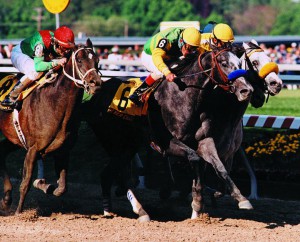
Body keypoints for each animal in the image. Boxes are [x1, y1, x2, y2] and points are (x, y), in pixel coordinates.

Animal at [0, 38, 102, 215]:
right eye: (79, 60)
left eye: (97, 60)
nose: (95, 83)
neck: (55, 103)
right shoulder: (33, 149)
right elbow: (25, 183)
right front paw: (19, 213)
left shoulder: (63, 150)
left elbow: (62, 188)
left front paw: (45, 185)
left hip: (12, 139)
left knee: (2, 152)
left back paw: (6, 199)